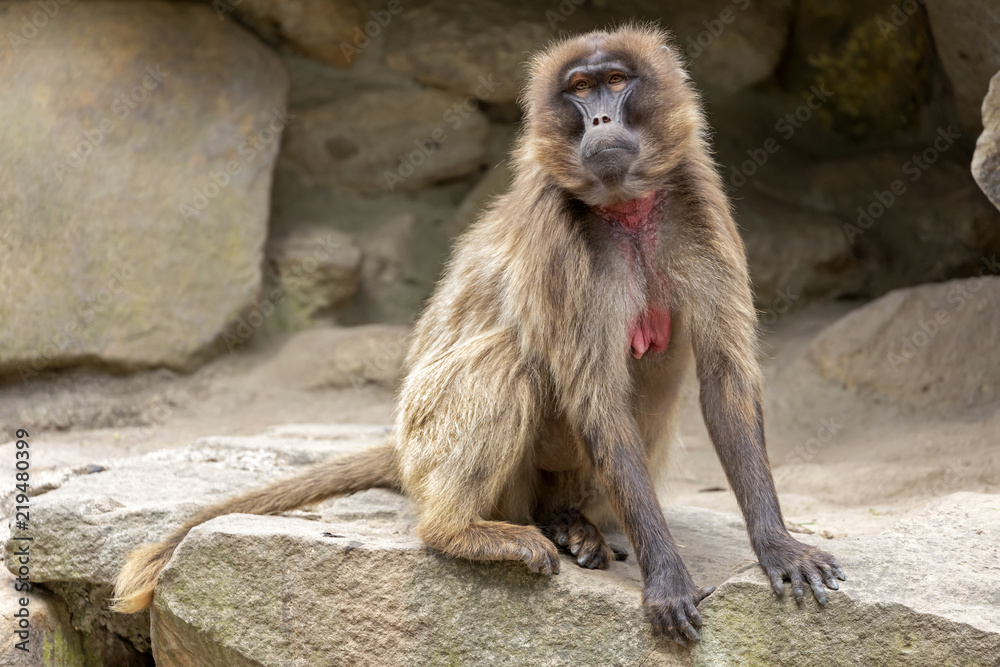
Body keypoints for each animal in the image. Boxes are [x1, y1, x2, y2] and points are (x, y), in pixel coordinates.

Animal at [114, 24, 845, 646]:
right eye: (580, 90)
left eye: (616, 80)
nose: (601, 121)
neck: (624, 210)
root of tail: (404, 455)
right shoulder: (555, 234)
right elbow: (597, 398)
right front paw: (665, 576)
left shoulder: (699, 199)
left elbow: (725, 377)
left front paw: (776, 544)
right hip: (429, 439)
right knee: (507, 363)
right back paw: (462, 531)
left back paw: (571, 521)